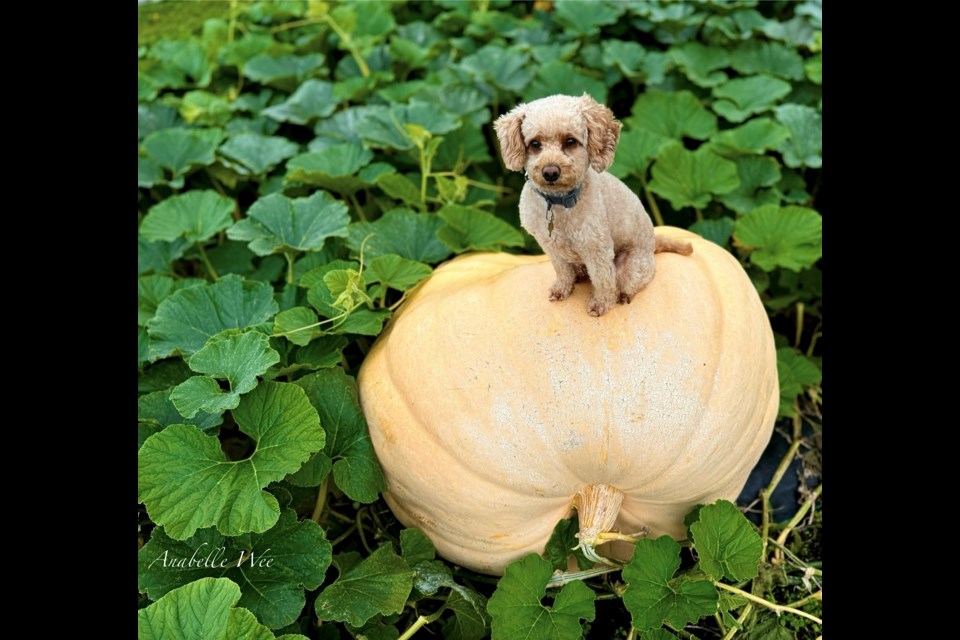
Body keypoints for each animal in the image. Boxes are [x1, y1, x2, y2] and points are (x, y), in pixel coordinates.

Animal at [496, 93, 688, 318]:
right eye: (535, 143)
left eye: (570, 141)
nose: (550, 172)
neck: (559, 202)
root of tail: (653, 244)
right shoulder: (550, 246)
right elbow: (562, 270)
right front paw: (562, 288)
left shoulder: (597, 248)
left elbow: (602, 279)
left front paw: (601, 303)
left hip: (632, 266)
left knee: (628, 282)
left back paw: (623, 295)